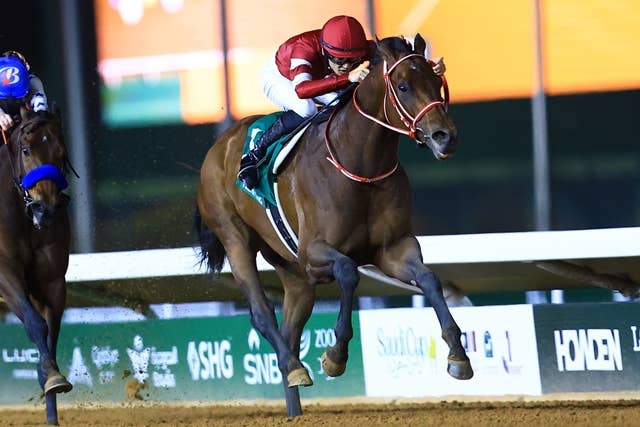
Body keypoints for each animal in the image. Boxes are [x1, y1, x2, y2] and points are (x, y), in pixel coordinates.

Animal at [195, 35, 473, 416]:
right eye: (403, 86)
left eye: (437, 82)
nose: (446, 137)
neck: (362, 166)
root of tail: (219, 147)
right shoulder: (314, 252)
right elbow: (348, 271)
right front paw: (336, 356)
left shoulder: (393, 250)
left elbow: (430, 279)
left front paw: (458, 355)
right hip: (235, 238)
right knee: (263, 314)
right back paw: (296, 368)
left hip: (292, 271)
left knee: (289, 328)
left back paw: (294, 400)